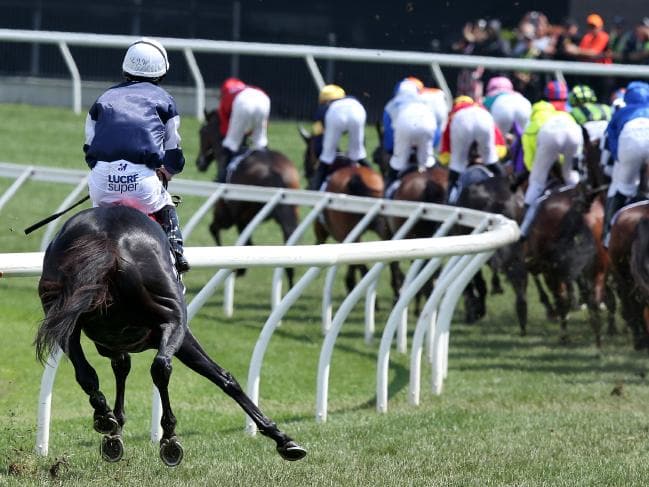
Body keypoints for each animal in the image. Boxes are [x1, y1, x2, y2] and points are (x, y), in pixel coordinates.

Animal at [35, 205, 306, 466]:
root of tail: (105, 238)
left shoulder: (116, 342)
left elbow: (120, 369)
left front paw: (114, 431)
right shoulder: (180, 336)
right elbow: (224, 377)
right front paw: (281, 438)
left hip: (61, 318)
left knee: (86, 373)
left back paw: (104, 415)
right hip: (172, 317)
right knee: (161, 367)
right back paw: (169, 438)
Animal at [196, 109, 300, 286]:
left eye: (201, 132)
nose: (199, 163)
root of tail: (273, 170)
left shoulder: (229, 215)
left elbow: (215, 229)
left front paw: (236, 269)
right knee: (290, 236)